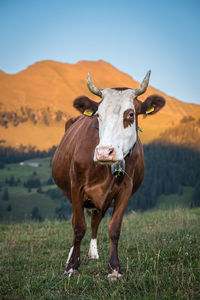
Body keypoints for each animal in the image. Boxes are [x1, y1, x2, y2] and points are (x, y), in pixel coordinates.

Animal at [52, 71, 166, 280]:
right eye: (98, 115)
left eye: (130, 114)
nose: (104, 152)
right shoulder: (76, 186)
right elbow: (78, 227)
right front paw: (72, 266)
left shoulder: (125, 189)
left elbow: (114, 228)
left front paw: (114, 269)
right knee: (78, 222)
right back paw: (72, 255)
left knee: (95, 221)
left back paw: (92, 253)